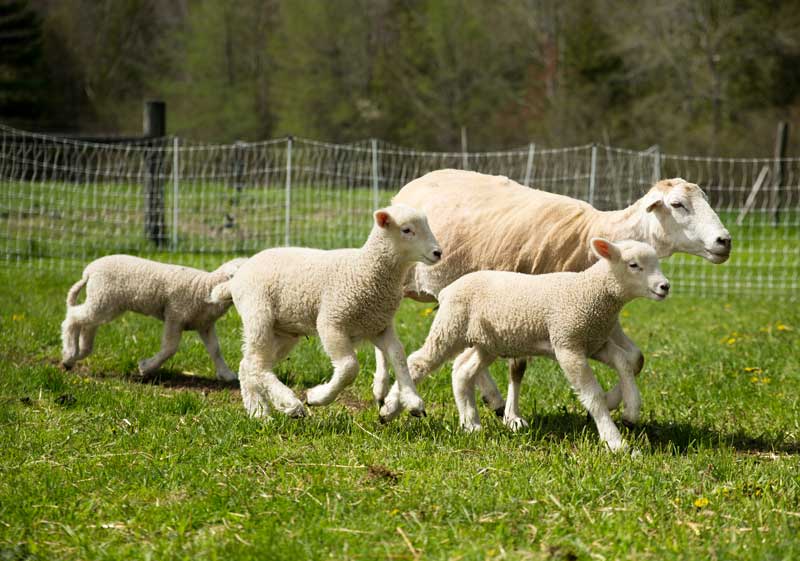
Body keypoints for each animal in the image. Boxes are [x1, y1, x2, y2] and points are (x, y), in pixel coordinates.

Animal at [61, 255, 247, 380]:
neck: (204, 288)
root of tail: (89, 270)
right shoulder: (175, 316)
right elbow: (170, 348)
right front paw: (146, 367)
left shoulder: (204, 325)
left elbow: (215, 350)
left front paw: (226, 374)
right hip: (102, 297)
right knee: (73, 318)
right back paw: (70, 352)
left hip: (103, 302)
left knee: (87, 323)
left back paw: (79, 352)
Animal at [209, 204, 442, 420]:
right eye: (406, 230)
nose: (438, 253)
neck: (365, 270)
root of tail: (236, 279)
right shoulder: (332, 322)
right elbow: (349, 367)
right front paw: (317, 397)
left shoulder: (378, 326)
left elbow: (398, 356)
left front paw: (413, 400)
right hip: (258, 313)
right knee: (256, 364)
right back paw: (290, 404)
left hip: (282, 332)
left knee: (248, 364)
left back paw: (259, 411)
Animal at [376, 170, 731, 424]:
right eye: (677, 204)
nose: (725, 241)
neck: (592, 237)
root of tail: (415, 183)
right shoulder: (529, 306)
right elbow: (518, 367)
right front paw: (514, 418)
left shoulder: (599, 312)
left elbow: (635, 358)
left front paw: (614, 404)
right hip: (399, 277)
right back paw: (385, 391)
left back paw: (489, 397)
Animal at [405, 238, 670, 451]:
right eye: (633, 265)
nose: (665, 286)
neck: (590, 292)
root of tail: (447, 290)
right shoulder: (568, 344)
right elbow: (592, 394)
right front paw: (614, 441)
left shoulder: (594, 342)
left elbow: (624, 362)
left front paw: (631, 412)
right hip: (450, 328)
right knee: (418, 362)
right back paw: (400, 406)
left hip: (488, 342)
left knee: (462, 371)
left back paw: (470, 423)